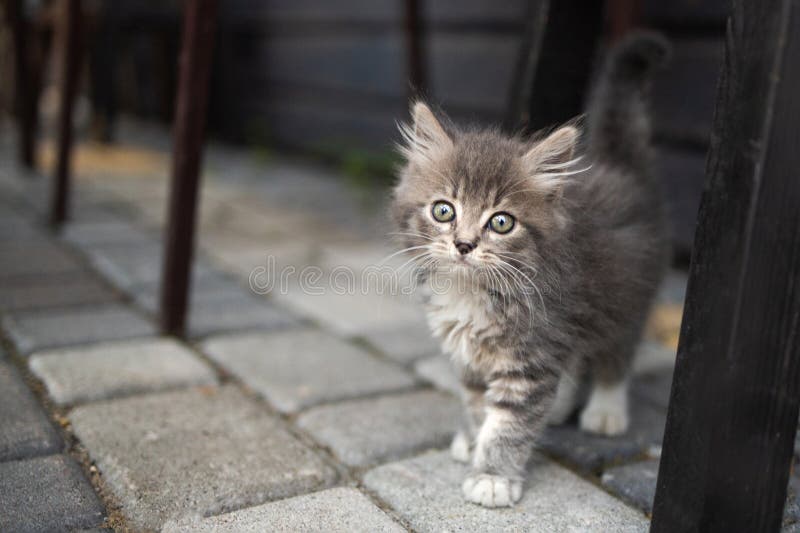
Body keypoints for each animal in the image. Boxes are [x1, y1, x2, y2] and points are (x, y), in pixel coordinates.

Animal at [390, 31, 672, 504]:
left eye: (501, 222)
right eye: (444, 210)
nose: (464, 244)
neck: (473, 292)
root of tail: (618, 169)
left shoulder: (533, 351)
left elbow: (509, 423)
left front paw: (492, 477)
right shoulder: (472, 356)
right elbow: (478, 404)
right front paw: (475, 441)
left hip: (628, 295)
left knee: (616, 353)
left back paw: (606, 410)